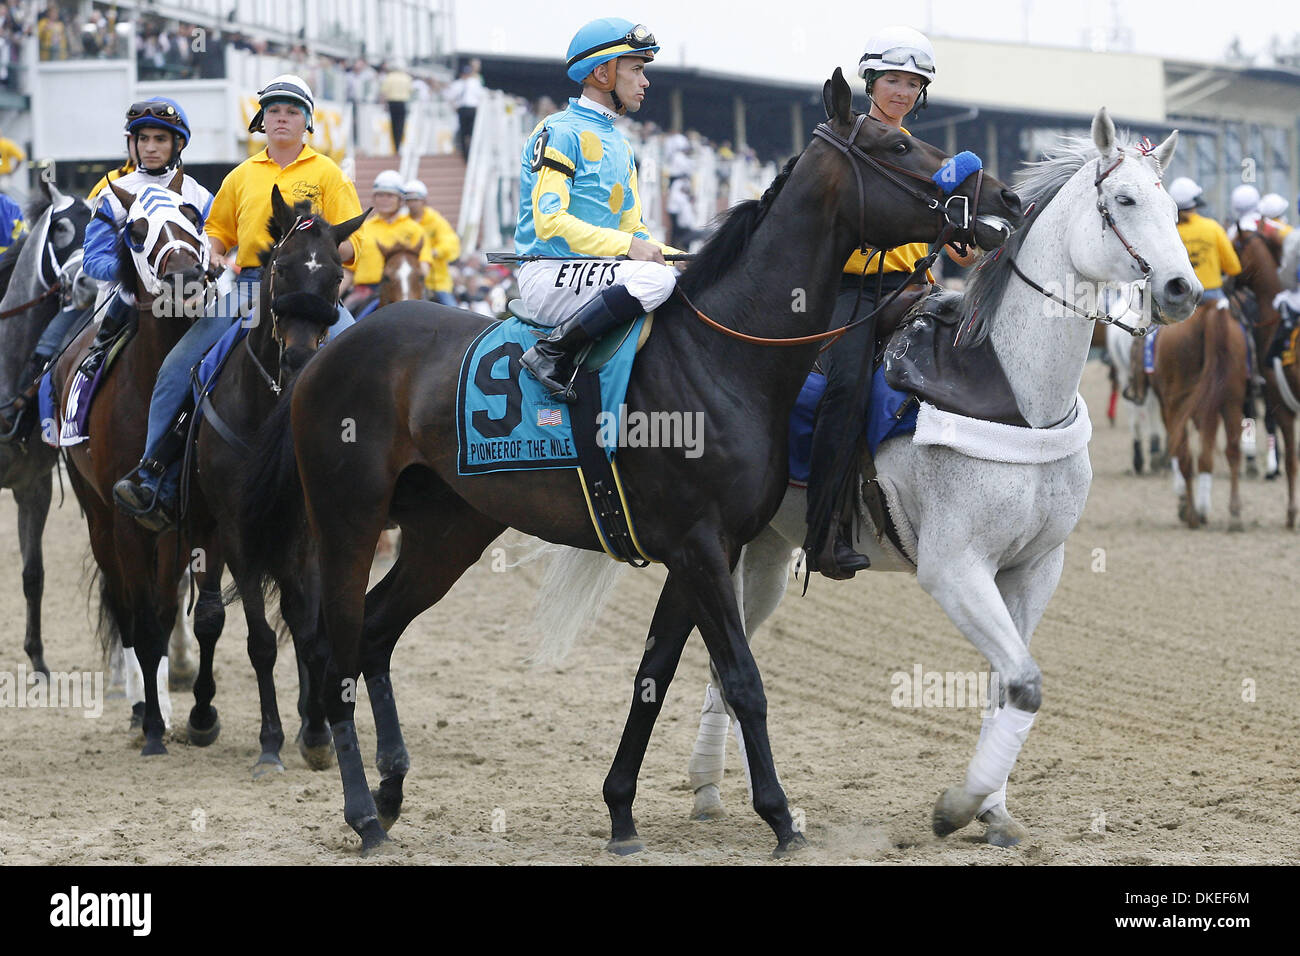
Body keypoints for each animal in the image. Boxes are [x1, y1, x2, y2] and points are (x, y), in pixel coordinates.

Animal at [52, 174, 210, 754]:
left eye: (192, 215)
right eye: (136, 231)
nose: (186, 275)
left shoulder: (175, 520)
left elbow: (161, 614)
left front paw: (167, 714)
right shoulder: (124, 519)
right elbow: (139, 619)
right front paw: (152, 723)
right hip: (95, 514)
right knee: (121, 604)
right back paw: (141, 705)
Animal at [239, 70, 1024, 858]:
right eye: (897, 143)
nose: (1005, 198)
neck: (723, 354)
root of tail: (325, 352)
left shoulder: (704, 549)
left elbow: (655, 673)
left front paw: (621, 812)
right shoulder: (700, 545)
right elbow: (742, 680)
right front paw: (778, 816)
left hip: (448, 529)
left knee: (375, 632)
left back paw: (393, 788)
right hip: (349, 518)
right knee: (335, 652)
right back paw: (362, 813)